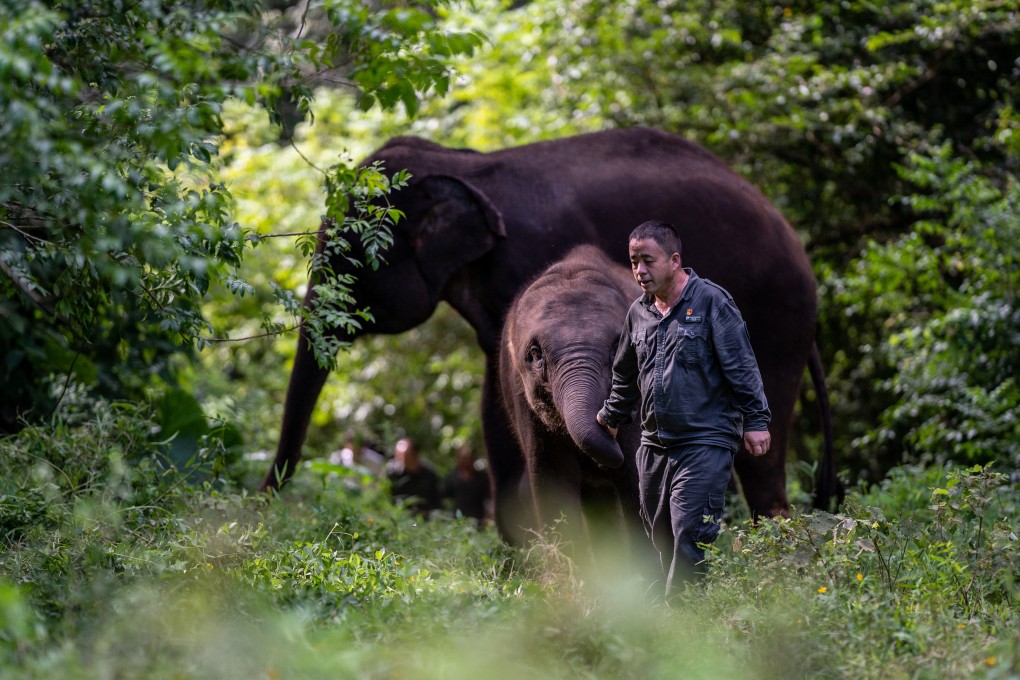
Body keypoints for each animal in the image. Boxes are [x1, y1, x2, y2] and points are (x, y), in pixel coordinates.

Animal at [499, 245, 643, 550]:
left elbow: (637, 477)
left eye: (617, 348)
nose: (608, 424)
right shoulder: (523, 402)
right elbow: (553, 485)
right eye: (535, 354)